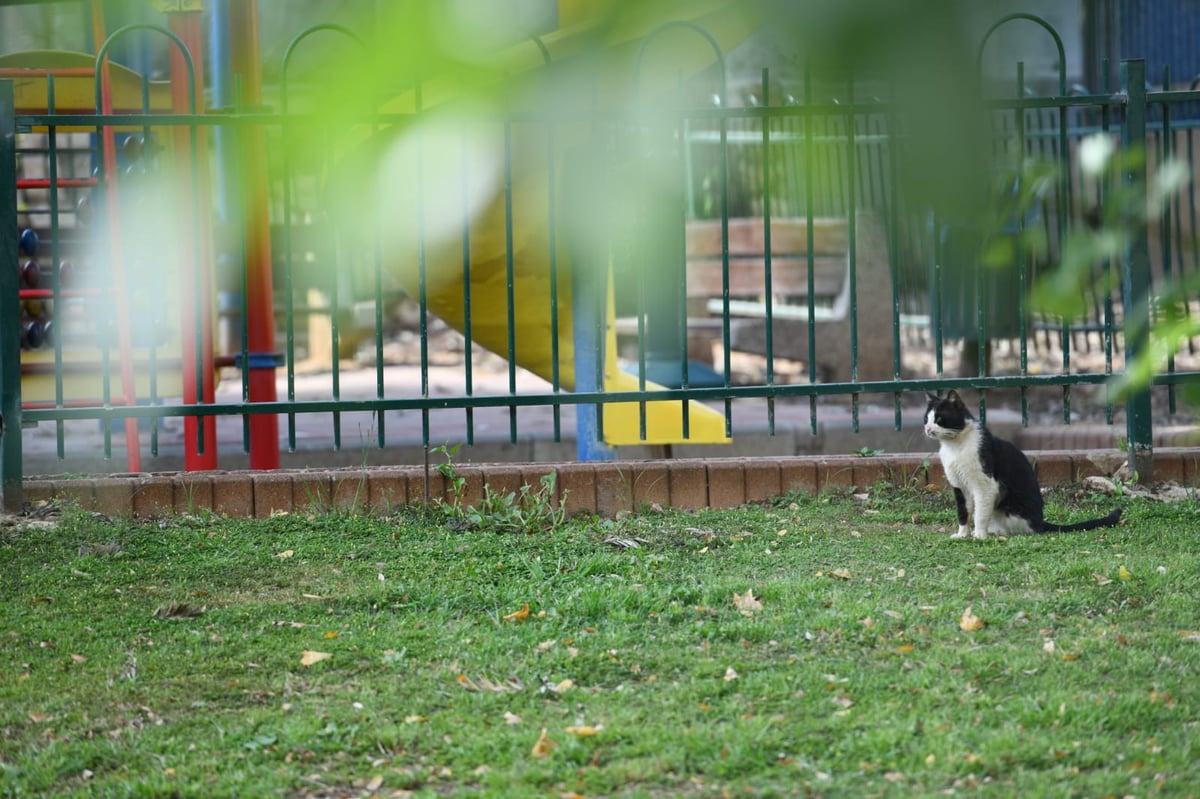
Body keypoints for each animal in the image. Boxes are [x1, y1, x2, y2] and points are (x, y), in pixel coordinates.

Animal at [921, 388, 1118, 537]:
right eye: (926, 419)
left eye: (939, 419)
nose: (928, 429)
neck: (955, 446)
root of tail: (1039, 523)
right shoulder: (959, 486)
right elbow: (963, 512)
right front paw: (962, 535)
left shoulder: (985, 485)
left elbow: (980, 514)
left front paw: (978, 536)